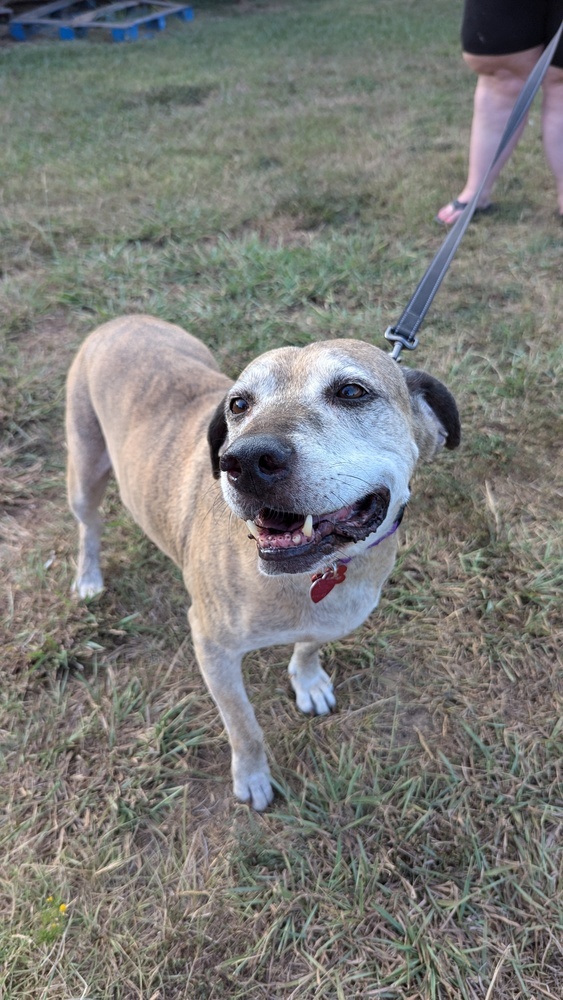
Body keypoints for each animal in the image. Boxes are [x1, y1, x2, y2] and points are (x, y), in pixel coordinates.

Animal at [67, 316, 462, 808]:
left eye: (352, 391)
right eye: (238, 404)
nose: (246, 460)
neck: (315, 573)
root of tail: (122, 320)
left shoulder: (334, 617)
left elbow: (309, 644)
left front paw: (308, 681)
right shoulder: (213, 647)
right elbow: (244, 725)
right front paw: (252, 777)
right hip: (83, 470)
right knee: (89, 525)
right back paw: (88, 578)